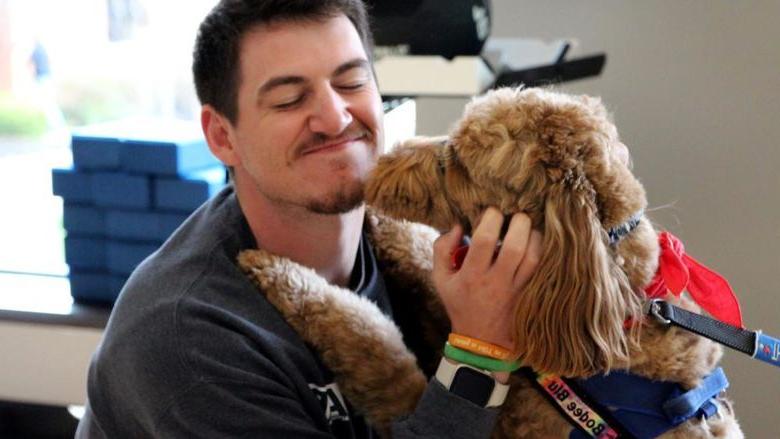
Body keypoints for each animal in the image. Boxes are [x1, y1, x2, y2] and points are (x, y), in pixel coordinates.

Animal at [239, 87, 744, 438]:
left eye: (459, 161)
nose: (378, 166)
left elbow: (373, 346)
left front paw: (284, 274)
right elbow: (421, 254)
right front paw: (380, 224)